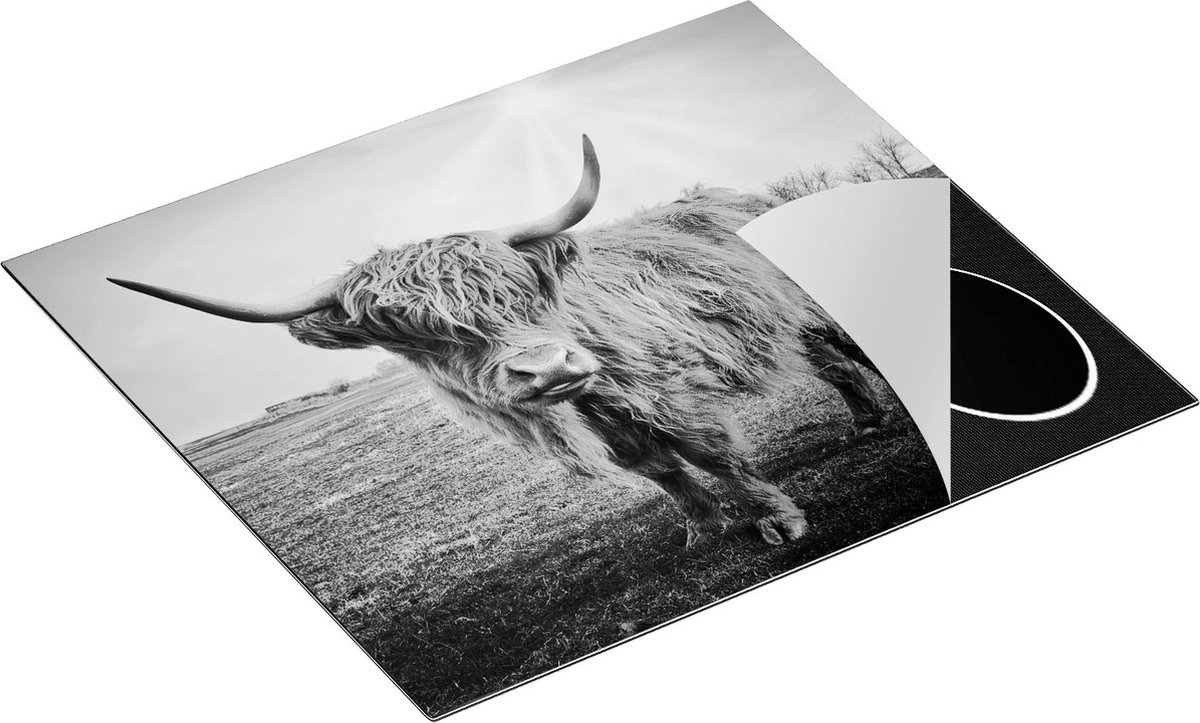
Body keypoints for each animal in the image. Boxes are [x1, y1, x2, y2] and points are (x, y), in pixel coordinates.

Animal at [109, 135, 889, 547]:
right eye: (419, 335)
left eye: (517, 291)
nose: (548, 370)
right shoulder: (612, 423)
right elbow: (656, 470)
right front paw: (705, 530)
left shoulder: (661, 389)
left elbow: (710, 451)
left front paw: (779, 520)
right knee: (826, 362)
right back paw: (864, 421)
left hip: (814, 305)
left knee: (845, 349)